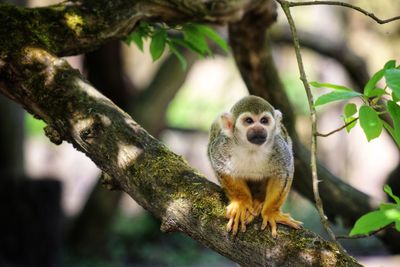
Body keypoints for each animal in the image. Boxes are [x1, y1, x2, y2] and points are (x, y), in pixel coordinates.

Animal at [208, 95, 302, 238]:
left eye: (264, 121)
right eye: (248, 121)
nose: (258, 129)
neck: (251, 149)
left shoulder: (279, 148)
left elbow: (284, 171)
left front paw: (271, 212)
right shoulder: (221, 147)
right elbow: (221, 168)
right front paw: (241, 202)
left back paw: (259, 201)